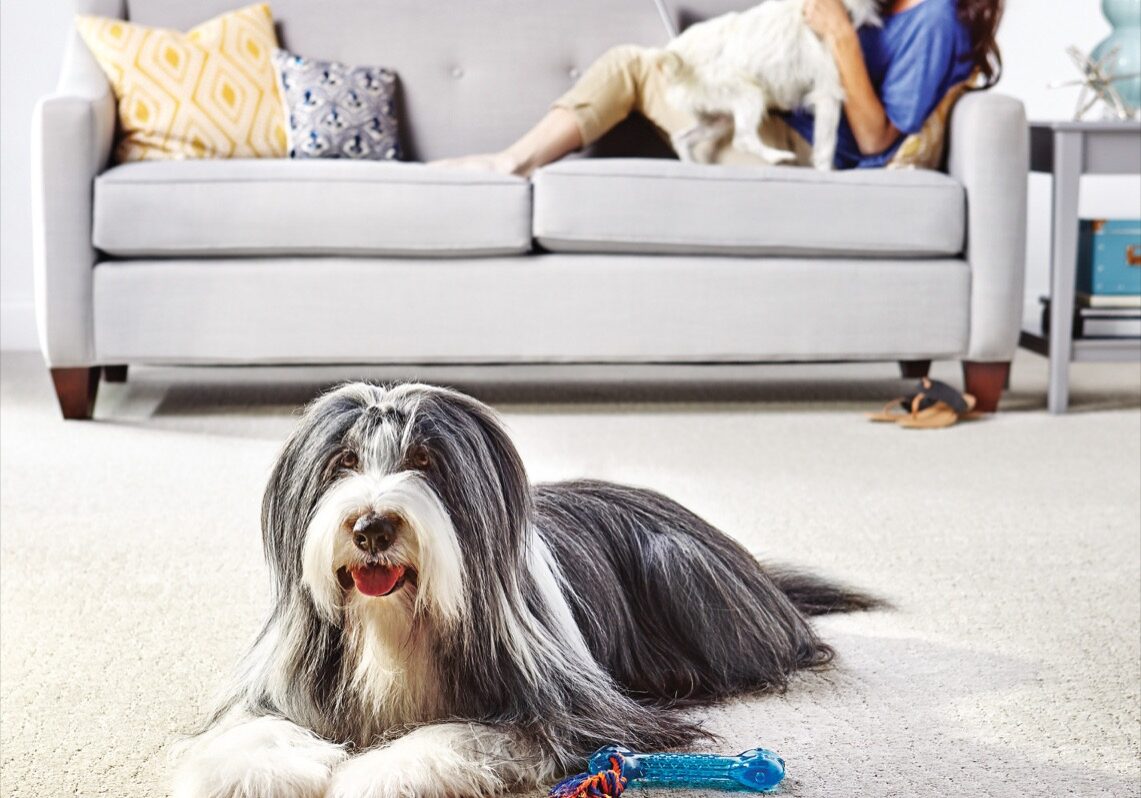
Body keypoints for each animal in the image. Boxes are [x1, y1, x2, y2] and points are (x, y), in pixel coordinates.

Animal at [175, 383, 871, 794]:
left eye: (424, 460)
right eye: (343, 462)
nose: (371, 527)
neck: (396, 624)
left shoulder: (568, 711)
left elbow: (464, 734)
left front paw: (372, 774)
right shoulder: (280, 683)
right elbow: (251, 726)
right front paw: (258, 770)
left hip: (679, 568)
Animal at [661, 0, 880, 168]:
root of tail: (677, 54)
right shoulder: (828, 94)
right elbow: (826, 145)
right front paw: (825, 172)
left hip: (720, 119)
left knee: (682, 138)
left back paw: (691, 164)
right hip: (748, 94)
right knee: (742, 139)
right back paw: (777, 156)